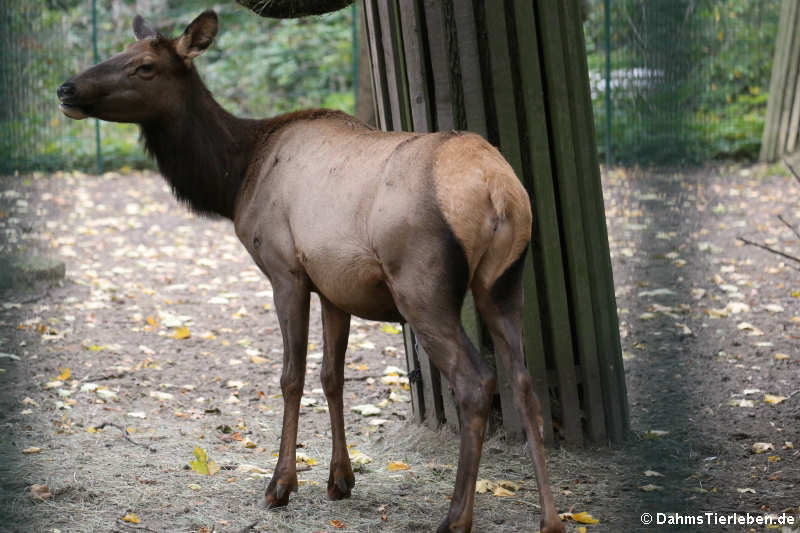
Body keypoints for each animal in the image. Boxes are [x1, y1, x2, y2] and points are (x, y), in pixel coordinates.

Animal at [57, 12, 564, 532]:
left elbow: (291, 376)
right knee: (524, 382)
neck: (235, 179)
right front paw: (340, 479)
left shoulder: (286, 270)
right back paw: (551, 518)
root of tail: (500, 191)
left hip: (422, 286)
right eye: (120, 51)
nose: (66, 88)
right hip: (505, 283)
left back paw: (456, 518)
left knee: (476, 381)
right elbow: (331, 376)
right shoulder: (335, 286)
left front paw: (280, 485)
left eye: (144, 66)